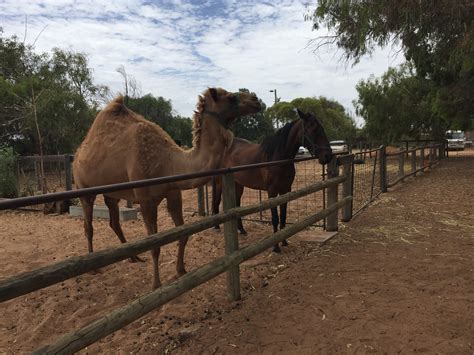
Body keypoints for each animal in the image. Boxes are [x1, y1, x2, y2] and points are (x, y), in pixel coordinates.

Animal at [73, 87, 262, 290]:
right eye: (231, 97)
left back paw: (134, 258)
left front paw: (181, 270)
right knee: (88, 226)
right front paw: (156, 284)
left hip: (112, 193)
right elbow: (155, 245)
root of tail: (78, 153)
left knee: (114, 222)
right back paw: (93, 268)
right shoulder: (146, 200)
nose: (256, 100)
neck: (168, 163)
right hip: (84, 188)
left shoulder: (173, 194)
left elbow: (183, 233)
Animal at [213, 109, 332, 253]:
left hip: (238, 185)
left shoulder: (285, 190)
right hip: (220, 183)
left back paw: (242, 230)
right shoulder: (272, 192)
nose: (328, 155)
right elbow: (275, 218)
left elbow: (283, 216)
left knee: (236, 205)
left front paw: (284, 241)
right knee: (217, 200)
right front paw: (275, 247)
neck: (277, 158)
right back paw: (217, 227)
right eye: (313, 129)